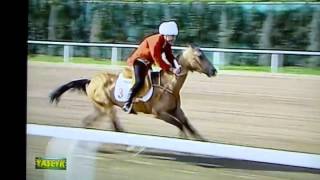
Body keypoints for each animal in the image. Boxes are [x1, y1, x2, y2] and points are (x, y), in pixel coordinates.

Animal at [49, 44, 218, 141]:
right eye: (200, 56)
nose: (214, 70)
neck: (169, 85)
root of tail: (90, 81)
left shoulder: (176, 110)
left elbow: (187, 124)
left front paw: (201, 140)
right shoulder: (159, 113)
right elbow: (180, 125)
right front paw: (183, 137)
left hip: (100, 108)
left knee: (89, 122)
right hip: (107, 106)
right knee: (115, 126)